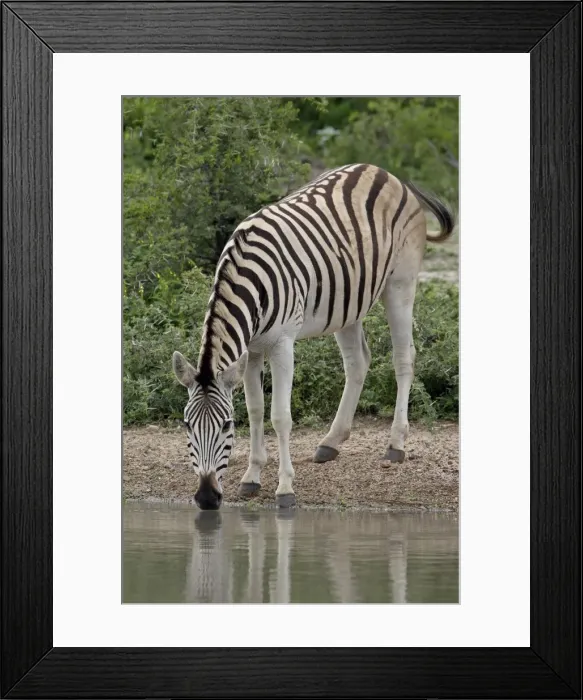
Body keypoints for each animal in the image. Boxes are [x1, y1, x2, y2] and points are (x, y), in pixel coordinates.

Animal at [172, 163, 455, 510]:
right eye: (187, 425)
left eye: (226, 425)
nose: (207, 498)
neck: (247, 279)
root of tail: (383, 172)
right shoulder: (251, 349)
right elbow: (255, 410)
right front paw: (251, 477)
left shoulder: (282, 345)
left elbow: (279, 415)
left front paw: (284, 488)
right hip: (348, 303)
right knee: (358, 362)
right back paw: (331, 442)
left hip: (400, 284)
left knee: (404, 357)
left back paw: (396, 444)